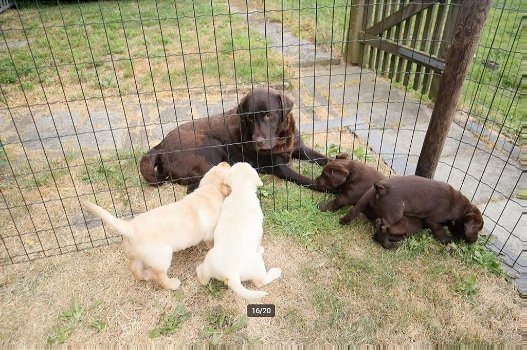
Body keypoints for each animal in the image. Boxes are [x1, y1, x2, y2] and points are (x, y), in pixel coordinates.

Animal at [83, 161, 231, 290]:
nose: (224, 162)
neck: (209, 191)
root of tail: (130, 228)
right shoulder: (210, 235)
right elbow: (212, 243)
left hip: (135, 255)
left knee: (134, 268)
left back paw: (144, 276)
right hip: (162, 257)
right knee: (158, 275)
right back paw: (172, 284)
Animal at [197, 163, 280, 300]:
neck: (241, 192)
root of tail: (232, 274)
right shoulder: (260, 230)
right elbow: (258, 242)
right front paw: (261, 249)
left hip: (209, 261)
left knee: (203, 279)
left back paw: (199, 269)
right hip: (257, 264)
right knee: (260, 282)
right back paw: (276, 272)